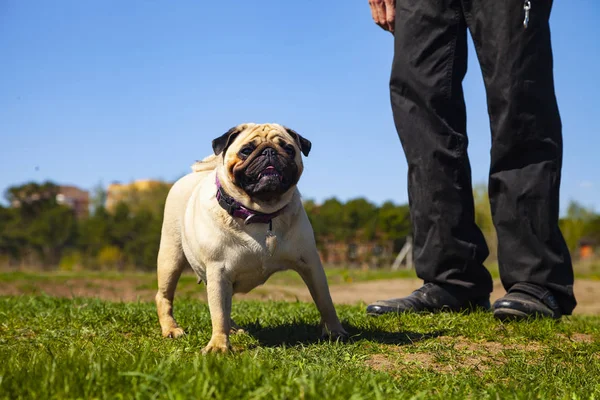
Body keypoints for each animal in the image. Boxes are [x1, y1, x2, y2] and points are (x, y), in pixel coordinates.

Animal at [156, 122, 346, 354]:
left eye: (288, 149)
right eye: (246, 150)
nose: (269, 152)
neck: (260, 214)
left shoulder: (311, 264)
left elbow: (325, 301)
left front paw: (334, 331)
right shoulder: (218, 271)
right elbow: (218, 313)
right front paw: (219, 345)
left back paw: (233, 329)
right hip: (171, 258)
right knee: (164, 296)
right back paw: (171, 329)